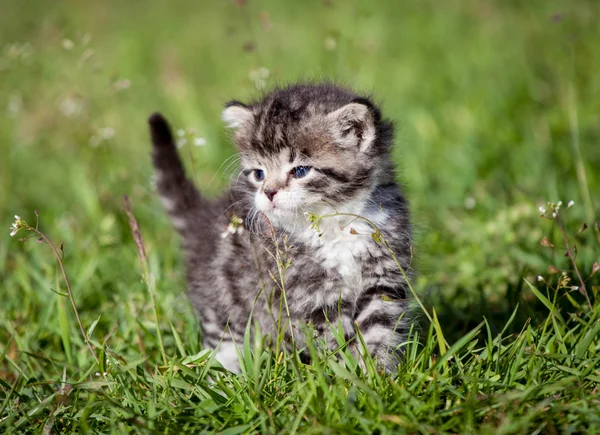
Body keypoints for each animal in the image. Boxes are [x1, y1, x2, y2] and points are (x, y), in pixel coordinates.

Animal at [149, 83, 412, 372]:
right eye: (258, 174)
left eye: (300, 171)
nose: (269, 192)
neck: (333, 225)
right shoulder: (310, 297)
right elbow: (338, 340)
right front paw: (349, 375)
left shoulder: (382, 277)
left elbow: (380, 330)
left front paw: (380, 375)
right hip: (222, 301)